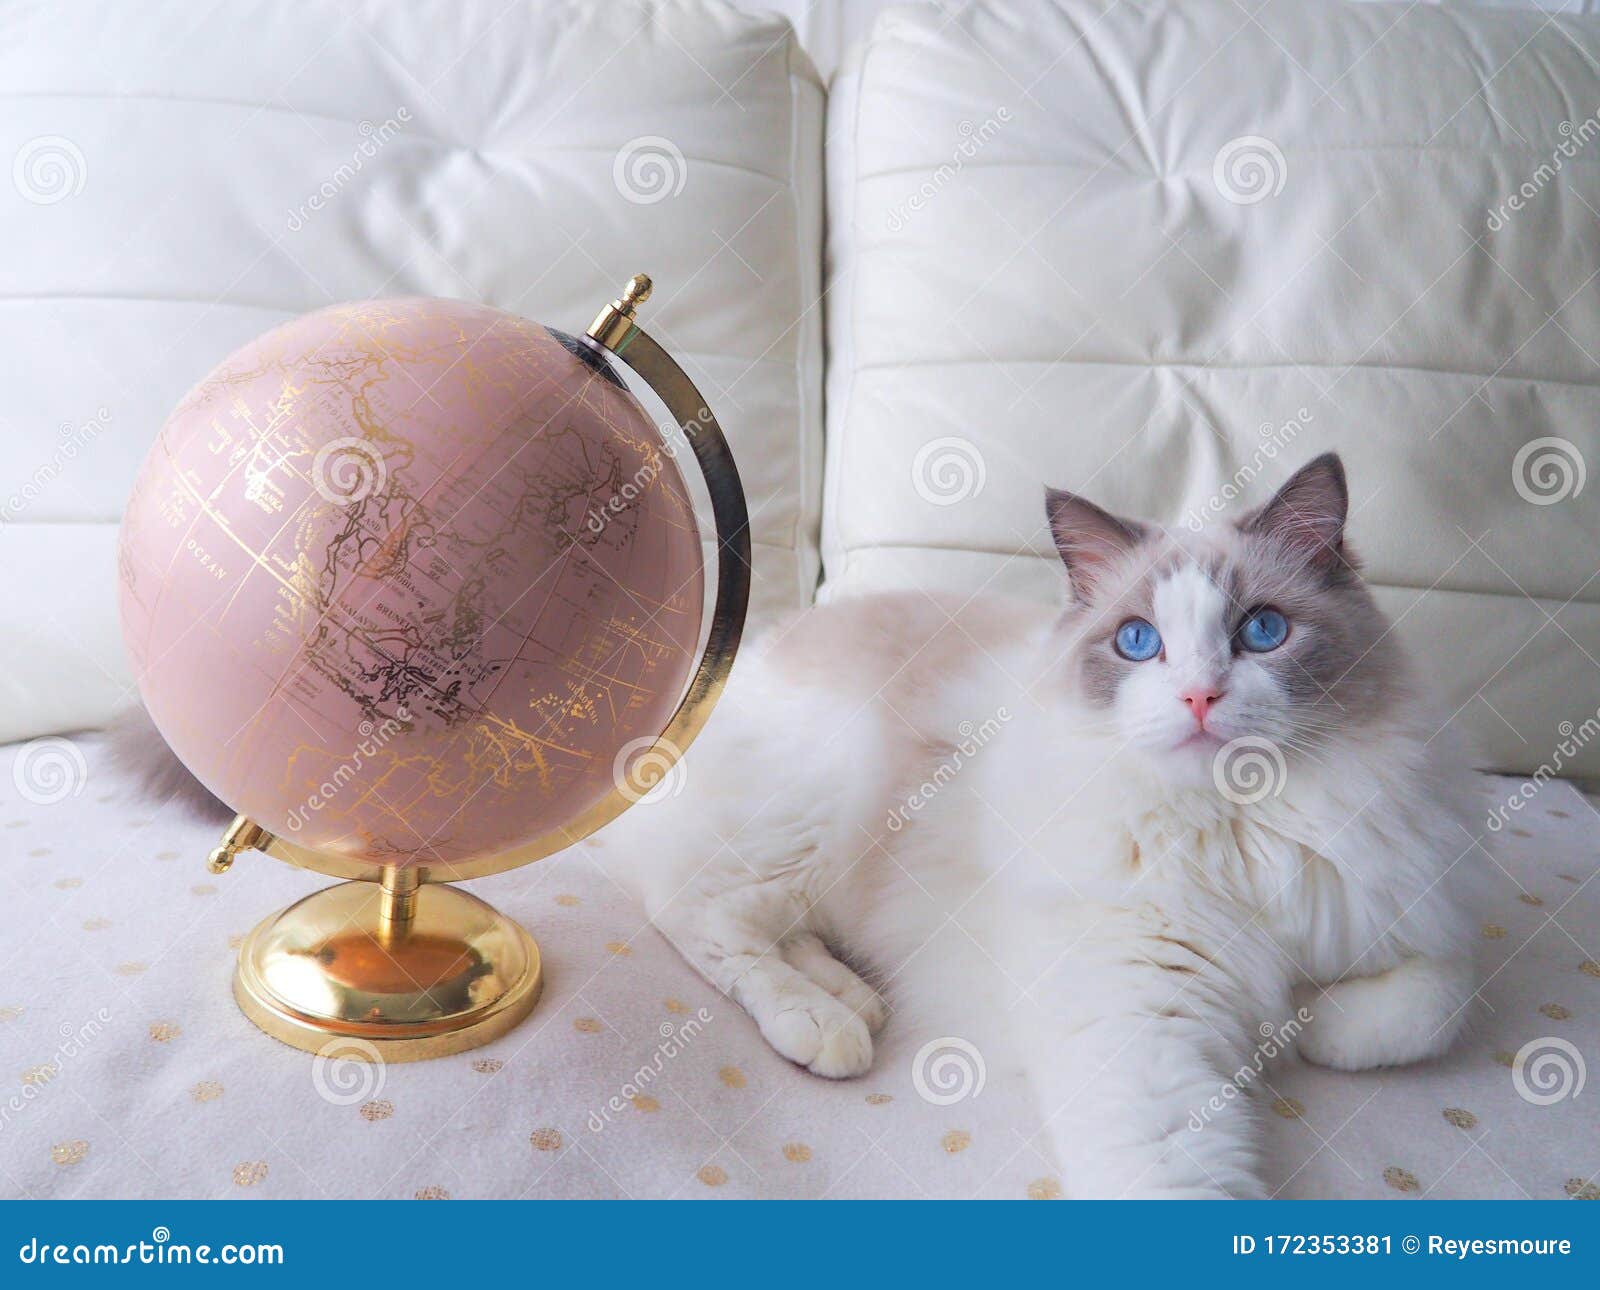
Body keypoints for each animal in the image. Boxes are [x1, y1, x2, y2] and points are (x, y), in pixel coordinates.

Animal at [588, 454, 1484, 1203]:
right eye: (1138, 642)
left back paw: (855, 999)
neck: (1235, 830)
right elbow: (1173, 1183)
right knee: (703, 916)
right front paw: (1295, 1030)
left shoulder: (1415, 919)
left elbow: (1433, 1006)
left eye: (1262, 631)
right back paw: (824, 1026)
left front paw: (1311, 1025)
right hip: (823, 809)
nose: (1199, 698)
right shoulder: (1138, 1030)